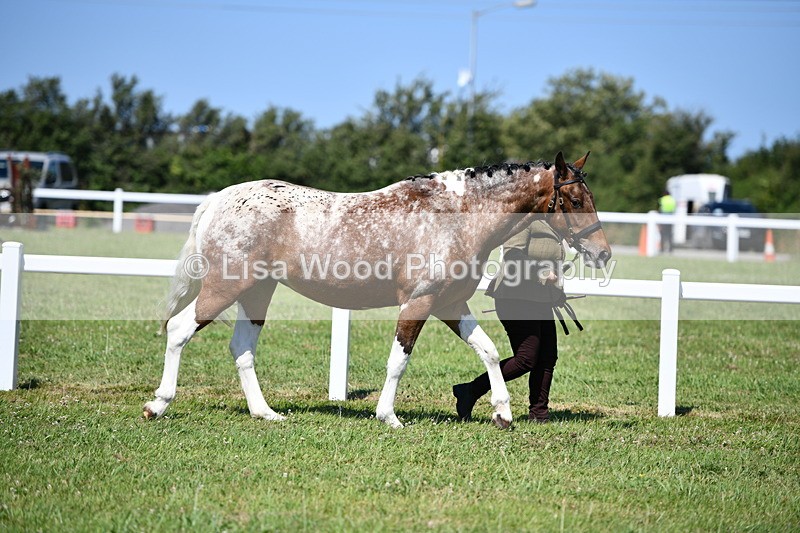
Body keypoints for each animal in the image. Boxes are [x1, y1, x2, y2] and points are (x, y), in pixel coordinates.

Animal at [143, 151, 611, 428]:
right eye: (573, 201)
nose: (603, 253)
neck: (457, 215)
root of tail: (218, 199)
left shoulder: (450, 303)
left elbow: (490, 350)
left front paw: (502, 412)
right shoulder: (420, 302)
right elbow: (398, 361)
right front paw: (388, 416)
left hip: (257, 292)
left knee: (241, 347)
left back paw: (265, 413)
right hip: (224, 288)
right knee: (179, 330)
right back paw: (158, 405)